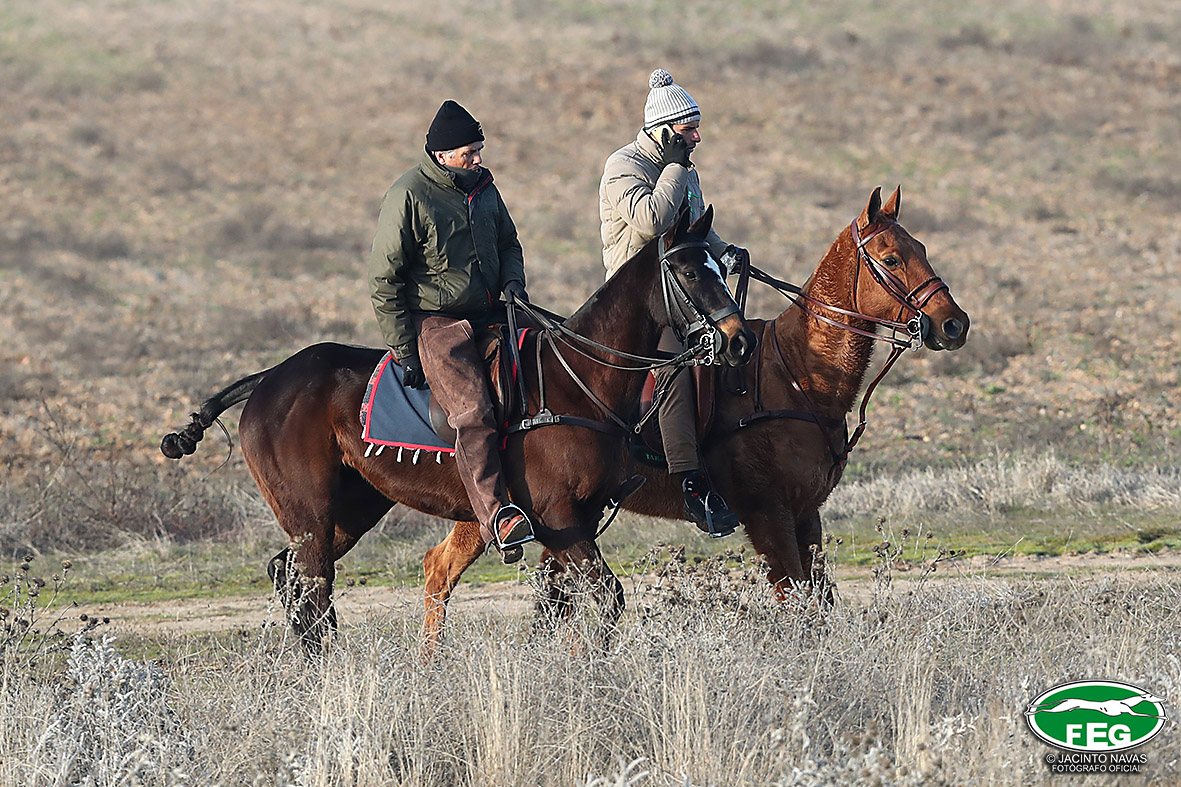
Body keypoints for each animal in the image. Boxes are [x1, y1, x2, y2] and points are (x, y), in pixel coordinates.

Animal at [160, 207, 756, 654]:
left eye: (720, 265)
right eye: (688, 271)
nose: (738, 340)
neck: (578, 378)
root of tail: (268, 378)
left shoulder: (581, 519)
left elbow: (560, 604)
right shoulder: (559, 518)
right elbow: (606, 597)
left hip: (352, 509)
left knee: (291, 576)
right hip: (312, 514)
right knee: (312, 588)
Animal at [444, 186, 970, 609]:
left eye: (921, 247)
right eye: (891, 258)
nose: (954, 324)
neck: (797, 372)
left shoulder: (807, 514)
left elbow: (821, 600)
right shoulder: (768, 515)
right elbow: (799, 602)